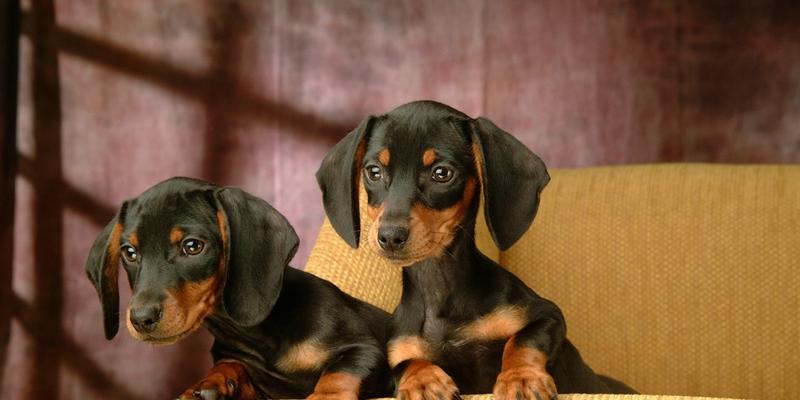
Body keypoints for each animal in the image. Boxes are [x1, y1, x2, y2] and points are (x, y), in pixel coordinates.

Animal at [85, 178, 390, 400]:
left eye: (192, 246)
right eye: (130, 252)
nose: (141, 319)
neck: (259, 335)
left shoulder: (364, 348)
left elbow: (338, 374)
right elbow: (230, 363)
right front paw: (212, 383)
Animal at [316, 101, 636, 400]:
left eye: (442, 173)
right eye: (373, 171)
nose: (390, 236)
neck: (439, 289)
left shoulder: (549, 315)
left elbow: (522, 340)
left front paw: (520, 378)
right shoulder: (396, 353)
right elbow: (405, 364)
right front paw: (423, 381)